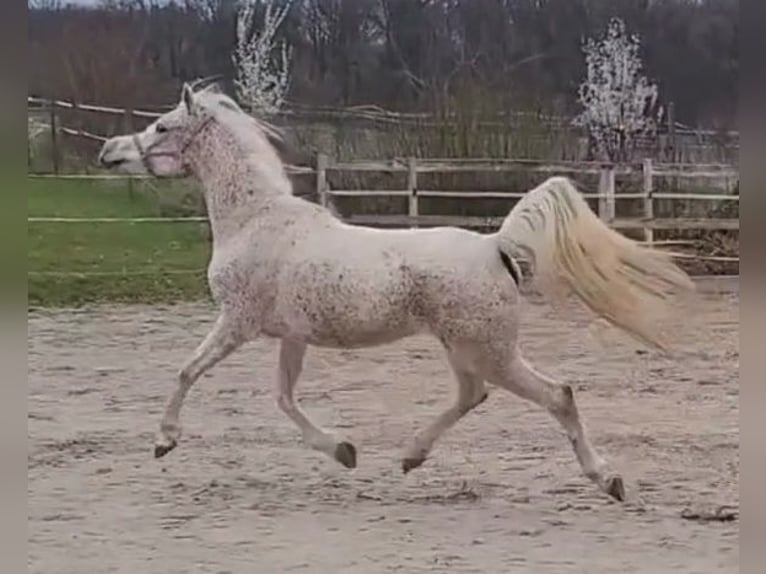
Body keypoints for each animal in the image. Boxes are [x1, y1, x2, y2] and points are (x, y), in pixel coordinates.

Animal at [97, 79, 694, 502]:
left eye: (161, 127)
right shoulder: (292, 336)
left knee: (556, 395)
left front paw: (164, 441)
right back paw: (410, 457)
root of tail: (497, 247)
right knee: (472, 395)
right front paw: (343, 451)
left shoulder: (238, 323)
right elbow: (285, 398)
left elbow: (187, 371)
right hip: (464, 348)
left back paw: (608, 480)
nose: (108, 152)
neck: (255, 219)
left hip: (488, 350)